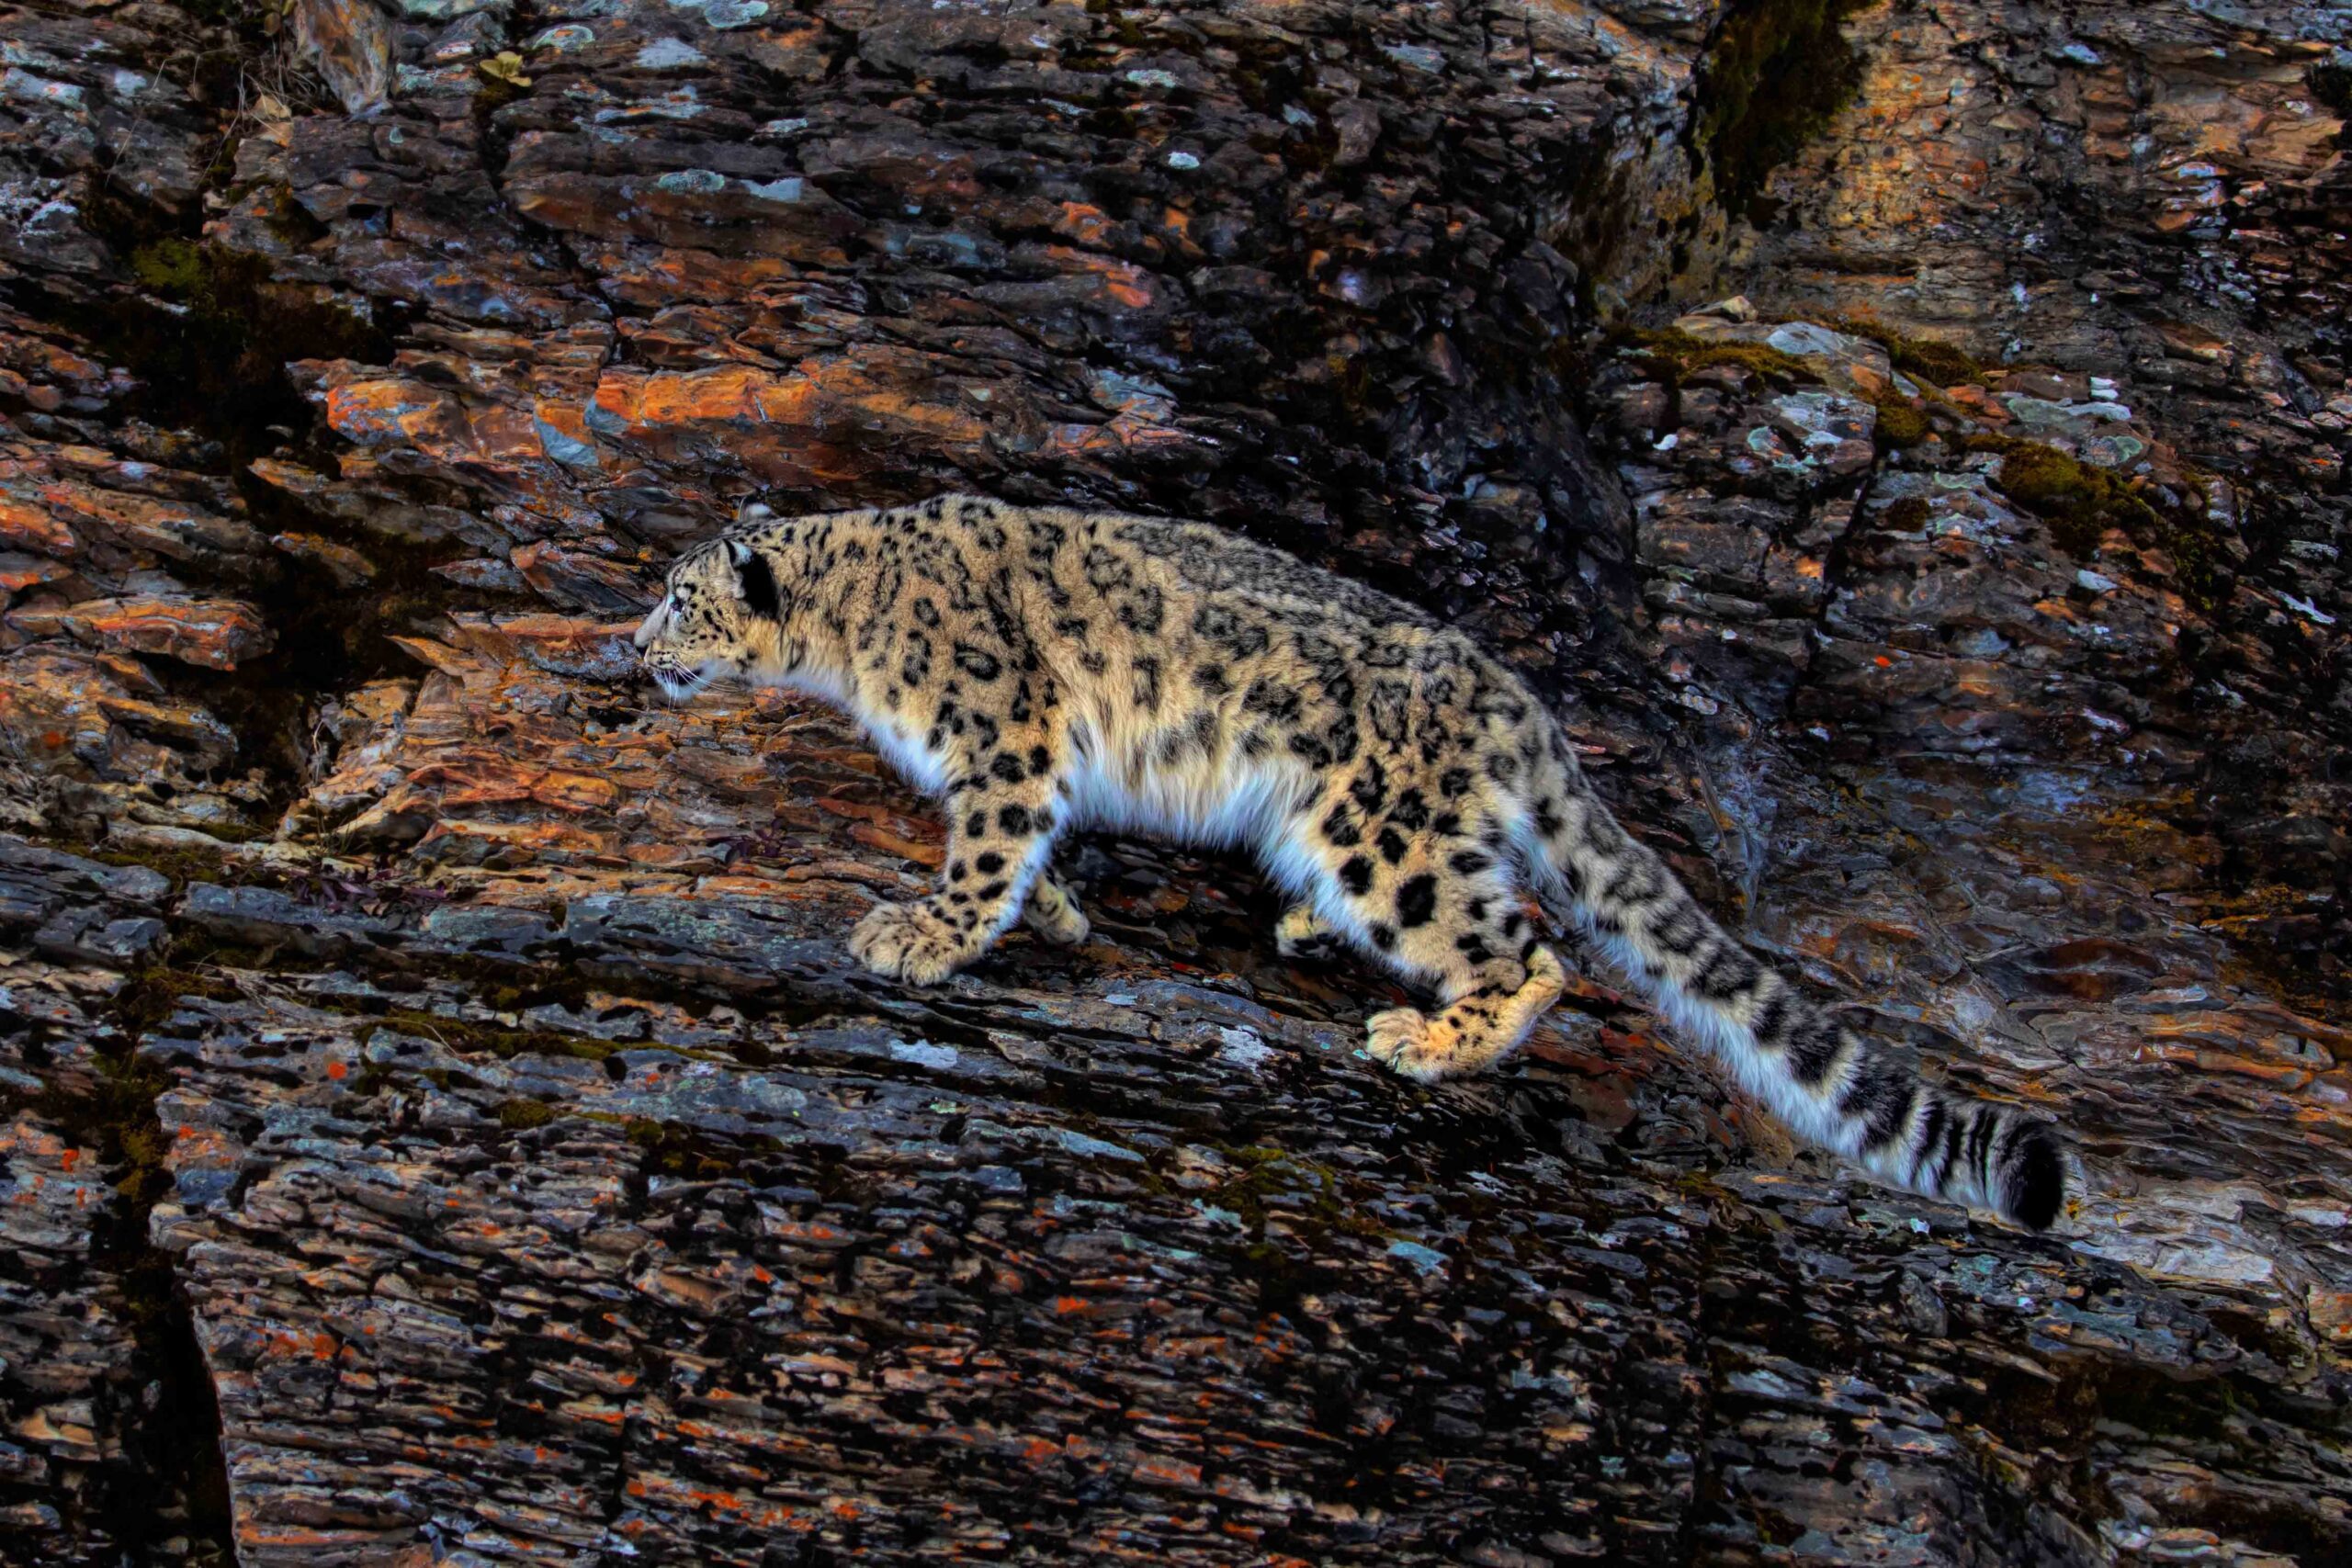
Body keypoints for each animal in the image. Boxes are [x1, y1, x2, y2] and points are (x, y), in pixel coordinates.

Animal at [634, 494, 2068, 1230]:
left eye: (676, 597)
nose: (630, 646)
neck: (849, 639)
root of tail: (1512, 695)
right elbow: (1025, 855)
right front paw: (1062, 918)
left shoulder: (1005, 731)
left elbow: (986, 846)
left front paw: (920, 935)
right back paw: (1313, 931)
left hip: (1373, 819)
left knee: (1529, 944)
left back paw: (1428, 1036)